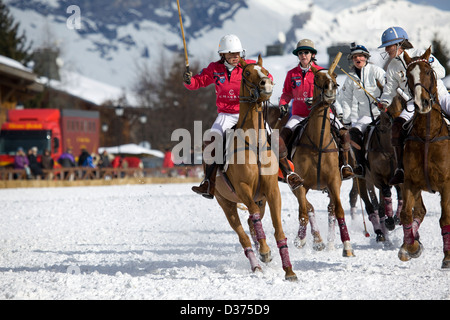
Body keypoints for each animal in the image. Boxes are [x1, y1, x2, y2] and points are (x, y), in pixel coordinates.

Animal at [213, 55, 298, 280]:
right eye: (247, 73)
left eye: (266, 71)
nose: (266, 84)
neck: (254, 142)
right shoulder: (243, 188)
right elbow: (254, 217)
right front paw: (266, 252)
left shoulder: (272, 190)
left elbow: (278, 230)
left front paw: (289, 271)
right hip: (225, 202)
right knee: (244, 234)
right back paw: (257, 264)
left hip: (261, 199)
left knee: (252, 224)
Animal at [292, 67, 356, 258]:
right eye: (317, 77)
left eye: (334, 76)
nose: (330, 90)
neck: (318, 142)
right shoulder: (300, 184)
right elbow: (304, 211)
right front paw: (301, 239)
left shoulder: (334, 181)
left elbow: (339, 210)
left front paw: (347, 246)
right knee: (309, 208)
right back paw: (317, 241)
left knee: (331, 209)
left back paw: (330, 243)